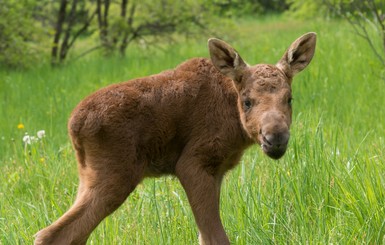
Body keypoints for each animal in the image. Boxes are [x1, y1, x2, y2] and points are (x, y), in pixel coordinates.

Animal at [34, 33, 316, 245]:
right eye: (247, 101)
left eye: (289, 98)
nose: (276, 137)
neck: (234, 122)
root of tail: (73, 125)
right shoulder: (193, 163)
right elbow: (215, 237)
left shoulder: (216, 171)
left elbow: (203, 236)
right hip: (115, 175)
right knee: (52, 234)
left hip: (88, 177)